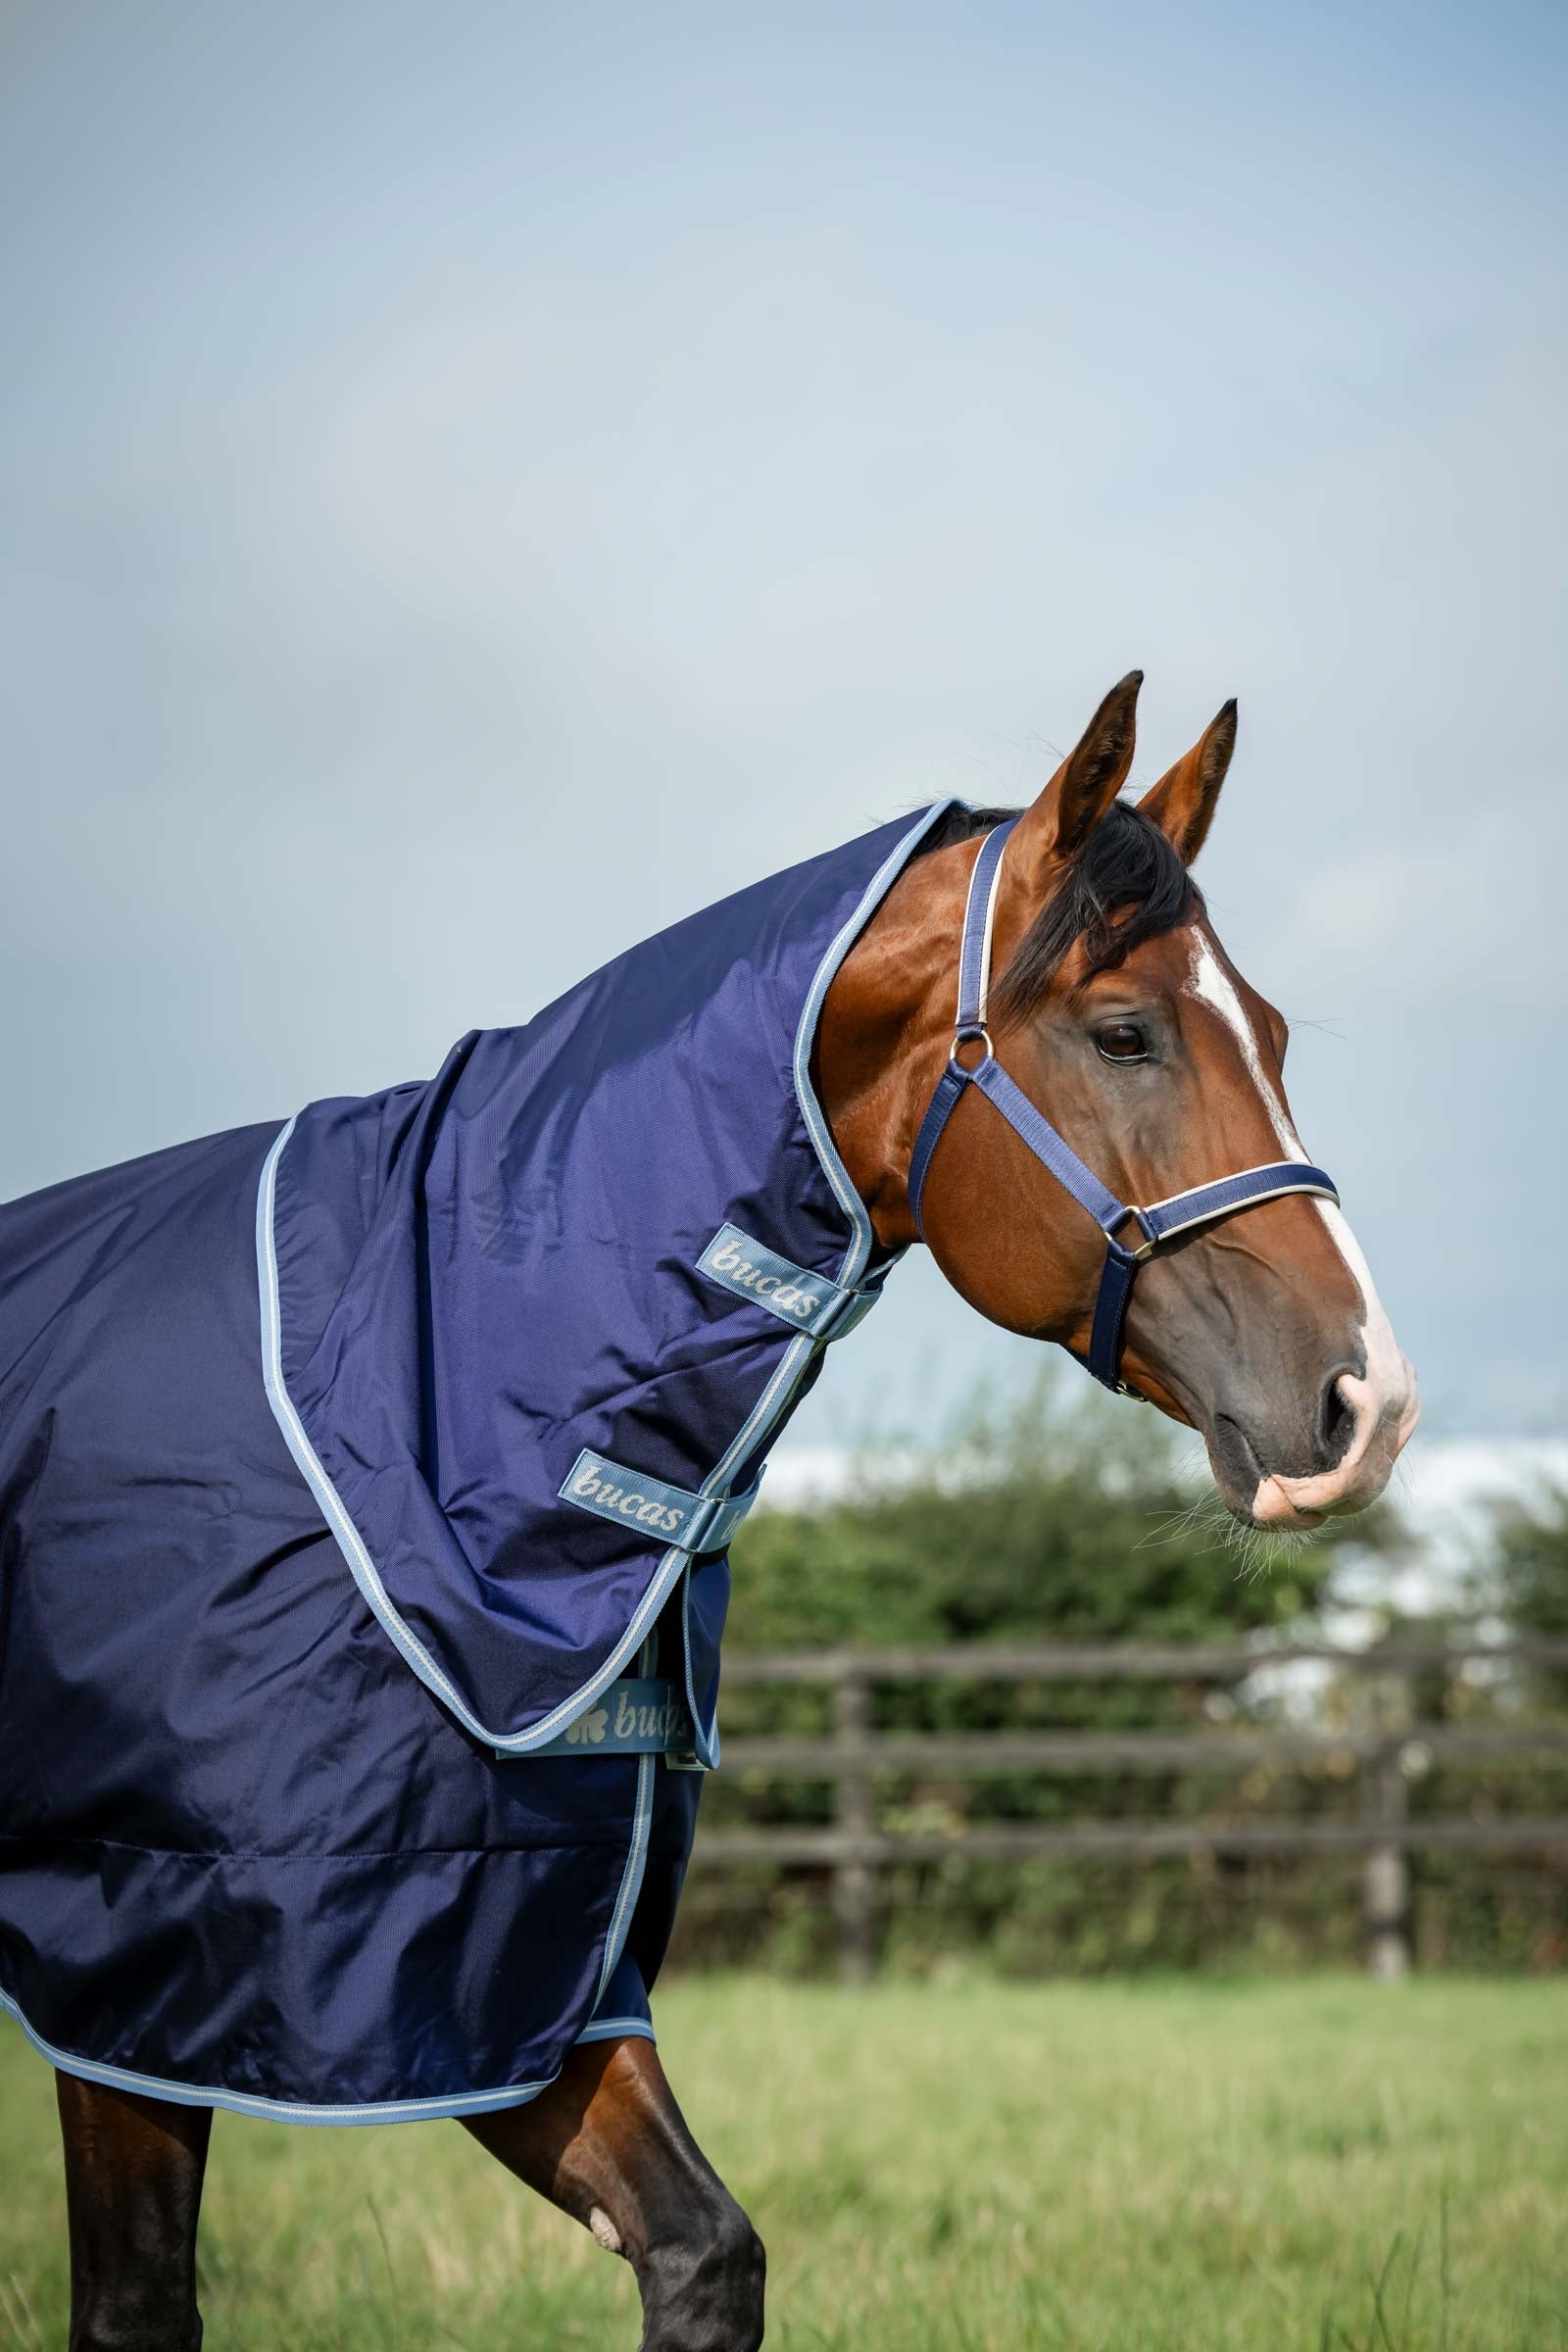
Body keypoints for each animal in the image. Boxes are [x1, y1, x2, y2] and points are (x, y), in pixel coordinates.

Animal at [0, 670, 1417, 2350]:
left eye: (1271, 1031)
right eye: (1125, 1033)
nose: (1367, 1404)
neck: (416, 1388)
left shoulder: (523, 1962)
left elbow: (703, 2250)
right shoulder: (151, 1970)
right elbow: (138, 2305)